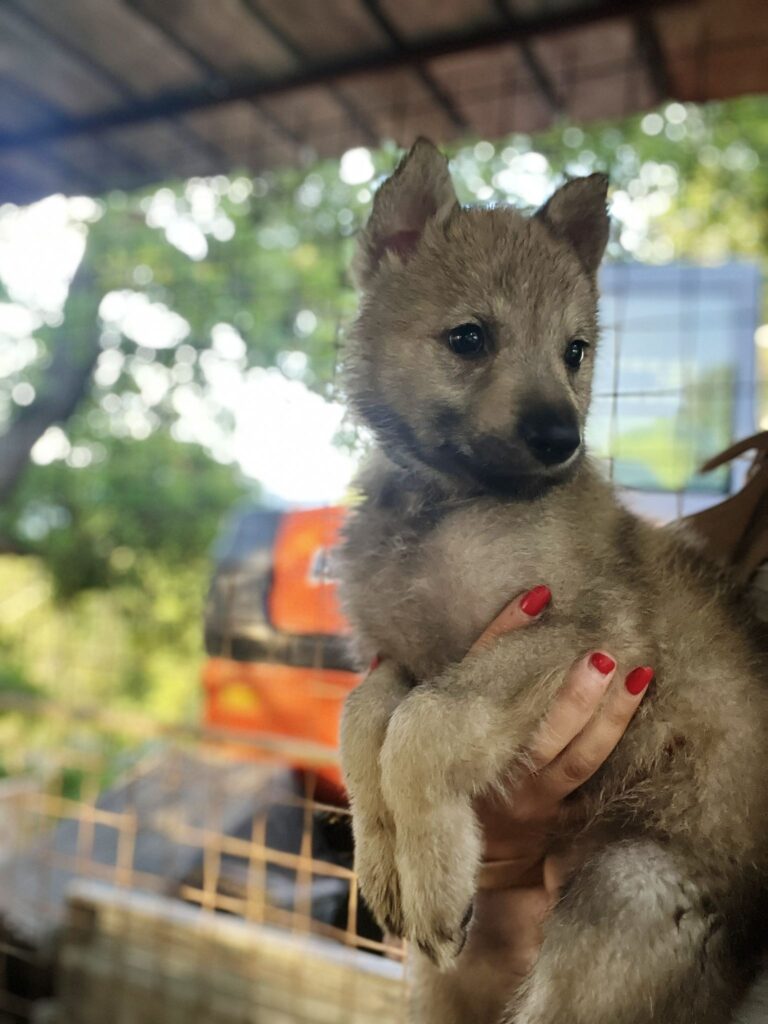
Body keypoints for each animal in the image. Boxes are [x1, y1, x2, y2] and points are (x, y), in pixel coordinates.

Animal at [337, 138, 768, 1024]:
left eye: (576, 351)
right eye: (469, 337)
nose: (560, 439)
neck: (448, 505)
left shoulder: (583, 634)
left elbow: (424, 729)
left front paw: (432, 881)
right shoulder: (401, 656)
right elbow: (362, 725)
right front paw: (388, 869)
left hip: (628, 893)